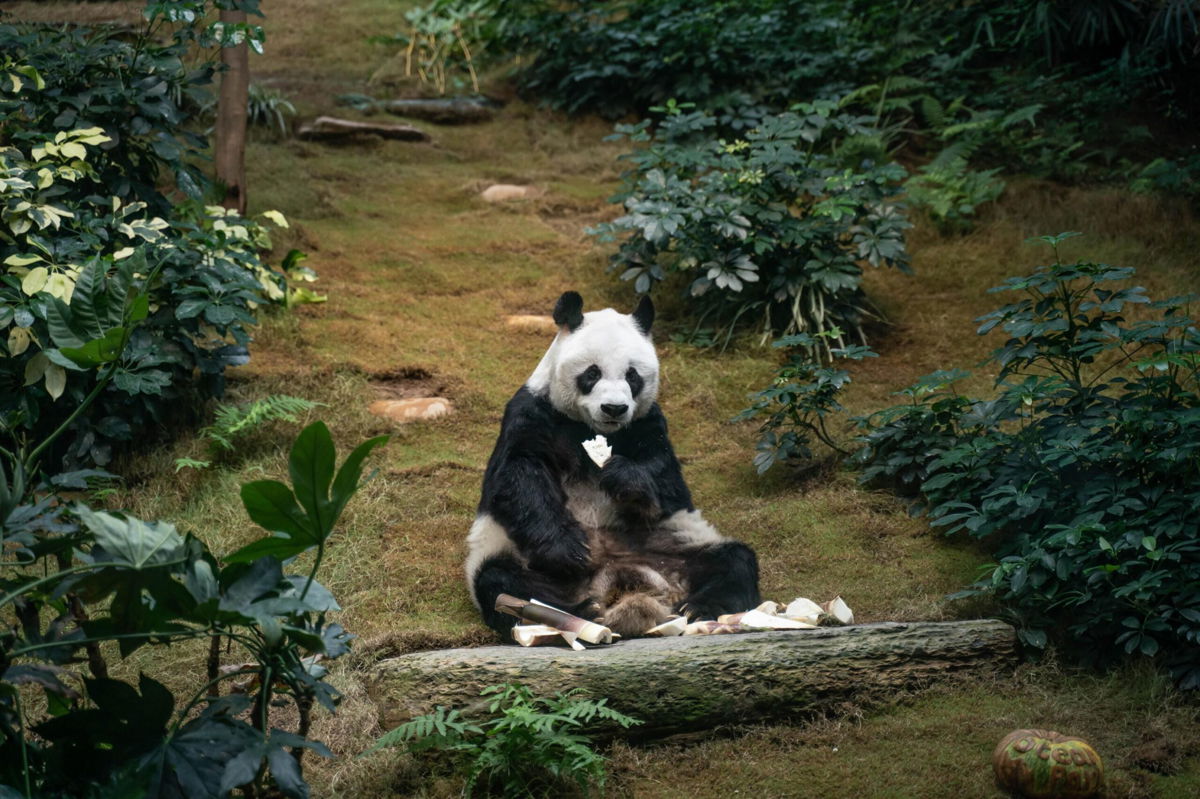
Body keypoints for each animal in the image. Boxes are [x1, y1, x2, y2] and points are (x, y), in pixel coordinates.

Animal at [460, 289, 758, 638]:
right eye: (592, 373)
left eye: (632, 375)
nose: (614, 408)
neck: (592, 429)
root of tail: (619, 585)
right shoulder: (532, 412)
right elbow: (518, 475)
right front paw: (570, 549)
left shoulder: (647, 422)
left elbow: (667, 480)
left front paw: (624, 477)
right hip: (516, 554)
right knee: (501, 580)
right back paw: (576, 612)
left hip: (675, 543)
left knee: (733, 560)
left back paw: (699, 609)